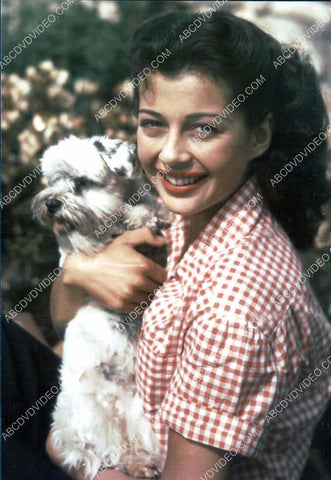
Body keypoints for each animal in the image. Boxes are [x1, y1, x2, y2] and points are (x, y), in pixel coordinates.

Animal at [32, 136, 170, 480]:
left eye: (81, 183)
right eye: (53, 183)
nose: (50, 203)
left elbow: (154, 209)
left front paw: (146, 215)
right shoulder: (77, 250)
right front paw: (136, 218)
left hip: (142, 417)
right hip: (91, 415)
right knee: (110, 454)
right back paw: (136, 465)